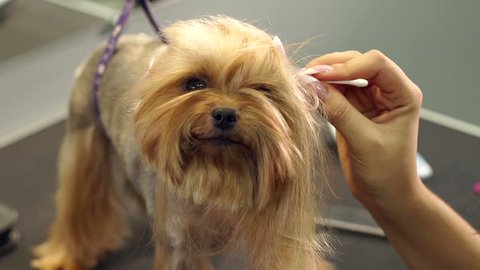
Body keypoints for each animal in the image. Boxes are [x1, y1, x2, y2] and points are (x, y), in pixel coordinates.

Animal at [31, 15, 334, 268]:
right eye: (194, 84)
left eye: (262, 90)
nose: (225, 114)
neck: (218, 172)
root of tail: (112, 45)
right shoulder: (180, 243)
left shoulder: (281, 238)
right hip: (82, 134)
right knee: (79, 200)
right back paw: (66, 255)